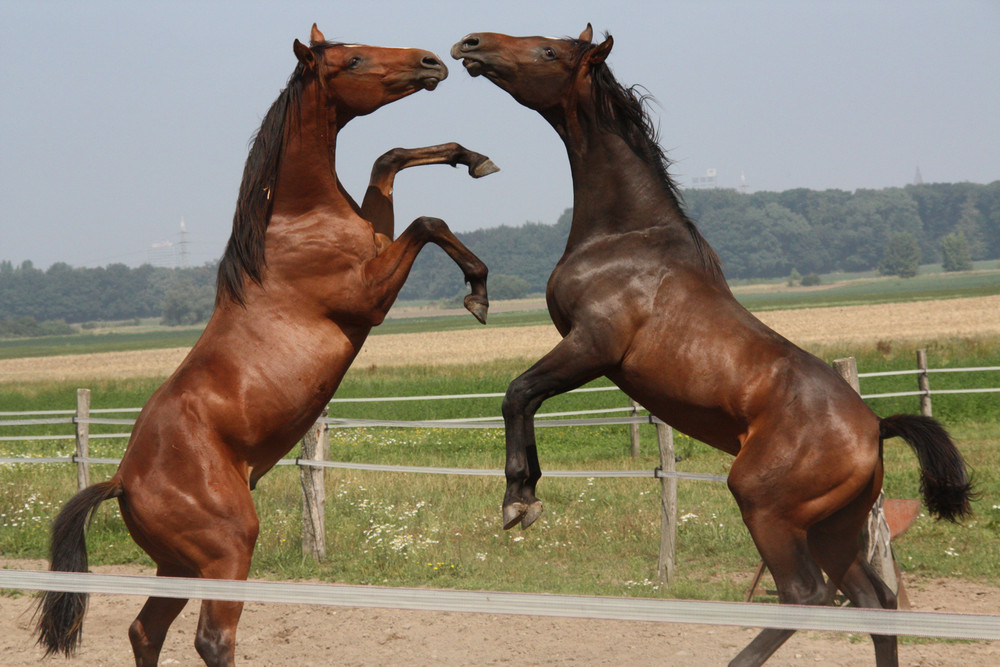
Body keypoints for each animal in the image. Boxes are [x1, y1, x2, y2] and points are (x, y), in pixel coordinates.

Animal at [35, 23, 492, 664]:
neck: (298, 221)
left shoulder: (377, 238)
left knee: (145, 630)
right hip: (227, 550)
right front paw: (478, 289)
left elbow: (389, 160)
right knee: (211, 638)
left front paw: (470, 157)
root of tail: (123, 478)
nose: (432, 62)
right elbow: (428, 222)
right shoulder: (368, 296)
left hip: (179, 567)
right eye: (354, 59)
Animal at [452, 23, 968, 664]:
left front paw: (519, 499)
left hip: (766, 507)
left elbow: (517, 393)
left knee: (807, 594)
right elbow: (525, 399)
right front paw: (528, 491)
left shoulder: (591, 345)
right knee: (876, 602)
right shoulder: (586, 353)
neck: (626, 235)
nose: (471, 44)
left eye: (548, 50)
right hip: (832, 527)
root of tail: (875, 428)